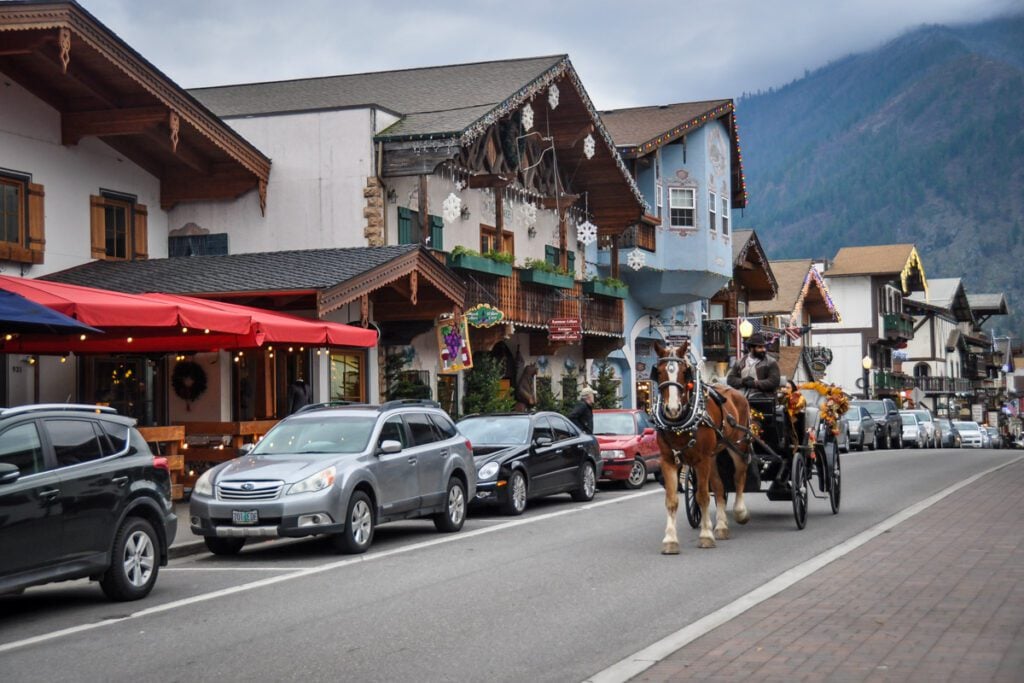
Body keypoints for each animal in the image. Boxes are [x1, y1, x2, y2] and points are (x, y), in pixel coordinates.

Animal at [655, 339, 753, 552]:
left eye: (685, 372)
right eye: (658, 371)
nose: (672, 409)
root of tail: (736, 392)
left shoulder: (702, 460)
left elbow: (702, 496)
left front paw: (706, 535)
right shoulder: (668, 460)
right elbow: (672, 500)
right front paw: (670, 540)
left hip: (737, 447)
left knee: (739, 477)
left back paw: (740, 512)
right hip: (714, 455)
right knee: (719, 487)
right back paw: (722, 526)